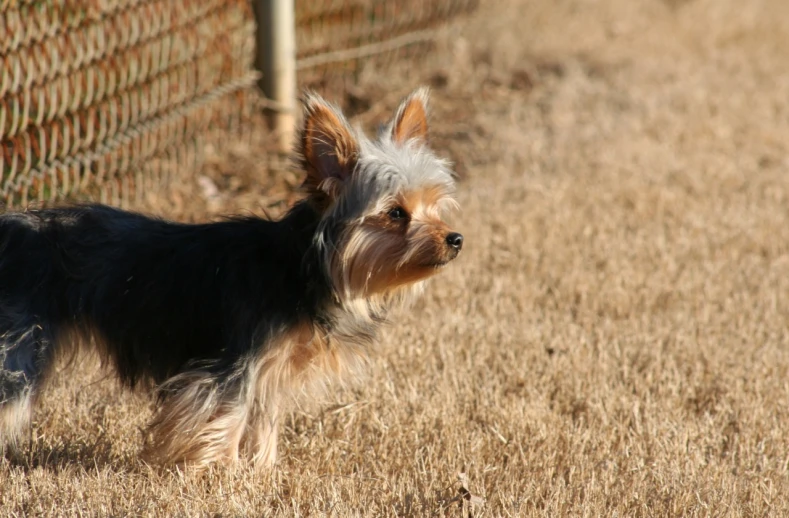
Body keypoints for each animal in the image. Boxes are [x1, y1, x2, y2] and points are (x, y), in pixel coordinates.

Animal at [0, 88, 462, 472]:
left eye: (435, 206)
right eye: (396, 214)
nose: (455, 239)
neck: (300, 267)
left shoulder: (271, 368)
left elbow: (264, 420)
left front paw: (262, 471)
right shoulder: (233, 365)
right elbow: (228, 417)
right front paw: (220, 475)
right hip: (20, 348)